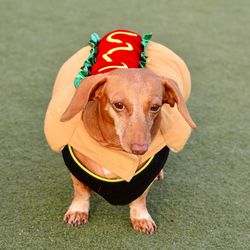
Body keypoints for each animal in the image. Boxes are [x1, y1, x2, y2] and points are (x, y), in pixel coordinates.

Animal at [45, 30, 197, 235]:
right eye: (118, 105)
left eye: (155, 107)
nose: (140, 149)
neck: (113, 151)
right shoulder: (76, 170)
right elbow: (81, 190)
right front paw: (78, 211)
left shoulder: (143, 179)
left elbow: (140, 198)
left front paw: (141, 218)